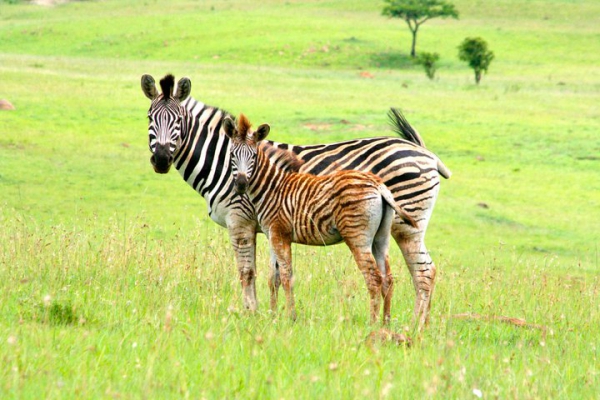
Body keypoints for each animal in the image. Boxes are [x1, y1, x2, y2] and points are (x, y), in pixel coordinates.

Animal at [224, 113, 418, 324]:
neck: (272, 188)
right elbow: (273, 278)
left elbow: (286, 276)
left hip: (357, 237)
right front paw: (273, 316)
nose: (241, 184)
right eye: (232, 155)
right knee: (387, 278)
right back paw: (386, 323)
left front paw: (290, 317)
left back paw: (372, 323)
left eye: (253, 156)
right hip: (381, 238)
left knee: (373, 278)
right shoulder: (272, 235)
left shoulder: (279, 233)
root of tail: (378, 185)